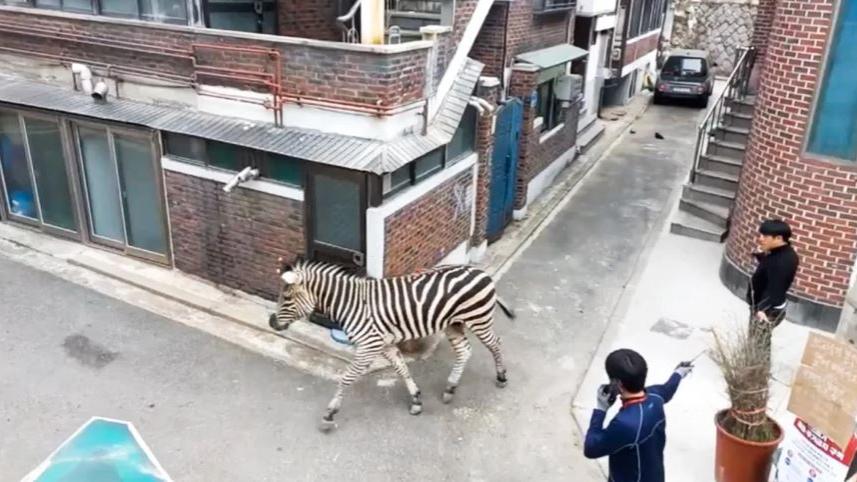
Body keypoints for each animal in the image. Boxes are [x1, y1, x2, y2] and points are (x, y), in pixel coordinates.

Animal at [268, 258, 515, 431]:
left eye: (287, 298)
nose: (271, 322)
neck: (352, 304)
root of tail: (479, 271)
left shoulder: (368, 346)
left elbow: (346, 378)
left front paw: (330, 413)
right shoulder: (384, 345)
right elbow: (402, 369)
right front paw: (416, 400)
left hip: (478, 319)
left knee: (496, 343)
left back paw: (501, 377)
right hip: (454, 324)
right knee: (465, 351)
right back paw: (450, 388)